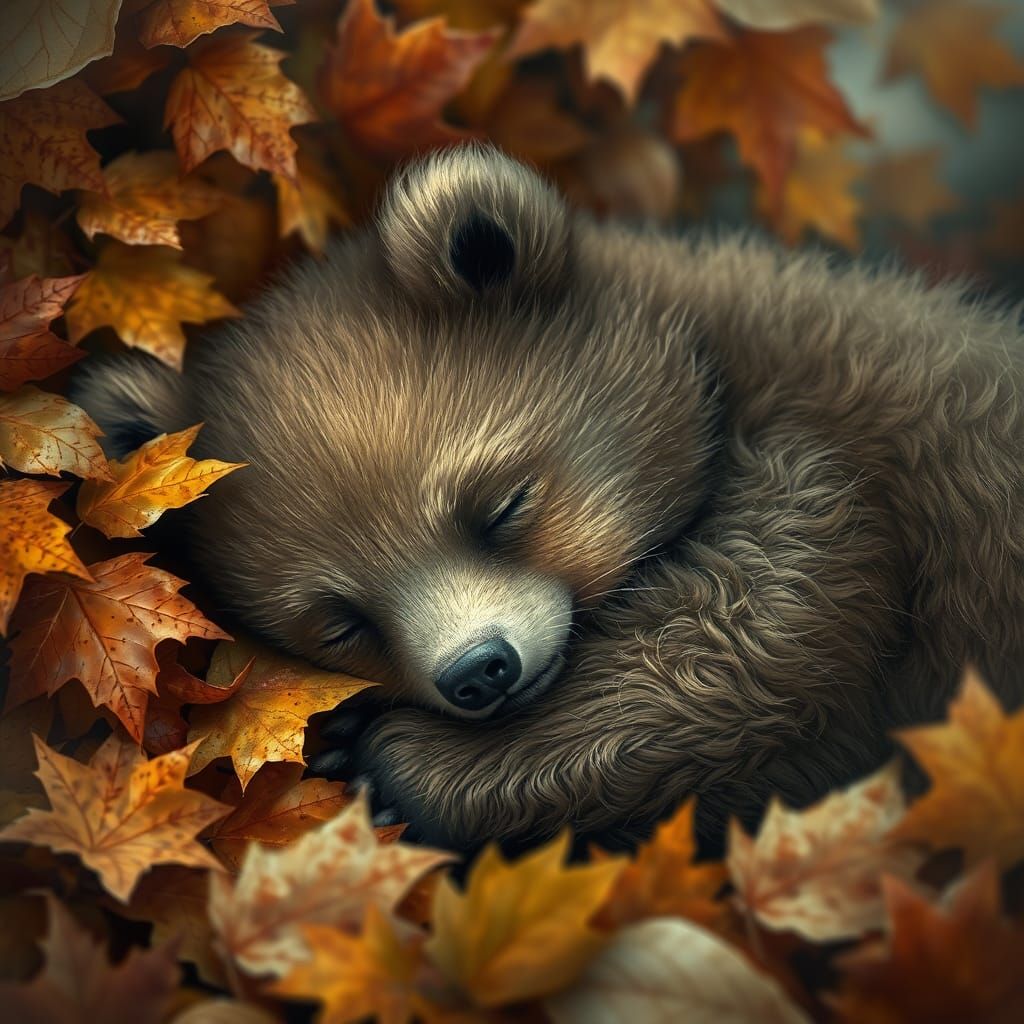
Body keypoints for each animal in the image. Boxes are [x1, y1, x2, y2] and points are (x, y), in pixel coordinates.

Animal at [74, 146, 1024, 853]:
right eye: (340, 621)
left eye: (504, 506)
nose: (478, 671)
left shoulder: (835, 458)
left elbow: (756, 633)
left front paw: (398, 763)